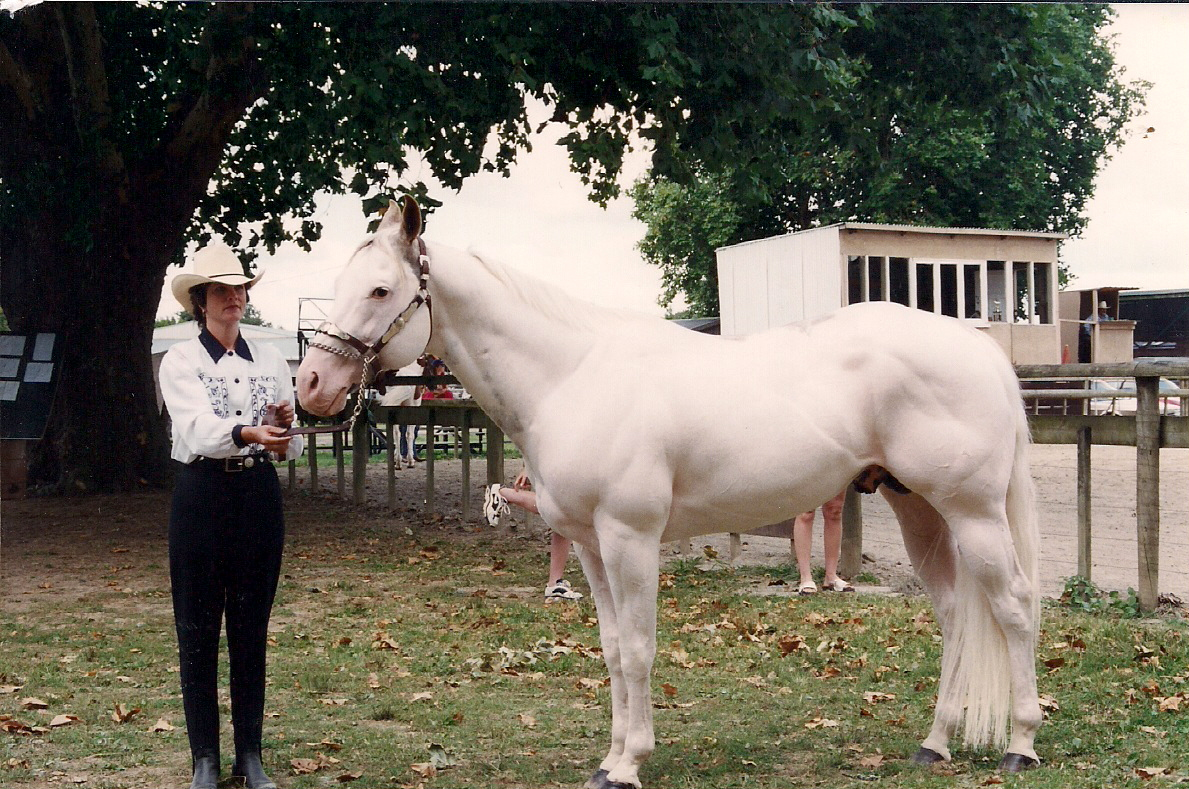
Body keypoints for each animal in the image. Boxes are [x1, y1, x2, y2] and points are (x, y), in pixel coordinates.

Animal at [294, 198, 1041, 789]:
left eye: (381, 290)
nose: (310, 387)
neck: (572, 374)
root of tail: (981, 352)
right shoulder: (590, 546)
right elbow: (611, 648)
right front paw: (609, 758)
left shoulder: (631, 539)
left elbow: (639, 647)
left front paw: (630, 763)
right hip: (917, 507)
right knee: (954, 612)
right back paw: (934, 743)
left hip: (972, 512)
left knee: (1011, 607)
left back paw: (1020, 744)